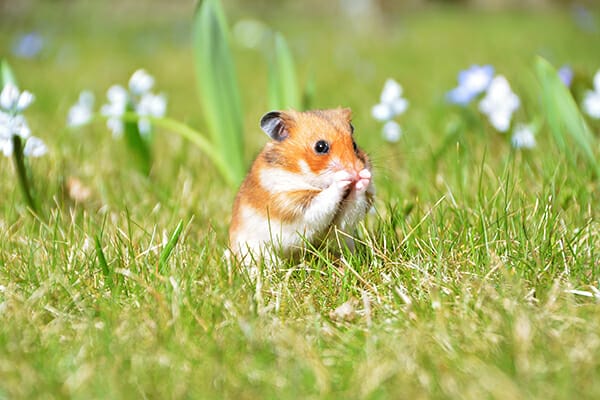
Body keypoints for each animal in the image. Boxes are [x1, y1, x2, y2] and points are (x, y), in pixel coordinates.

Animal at [230, 108, 376, 264]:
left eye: (354, 145)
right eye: (320, 146)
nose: (356, 171)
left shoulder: (340, 223)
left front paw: (364, 177)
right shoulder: (293, 204)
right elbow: (325, 199)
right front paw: (343, 178)